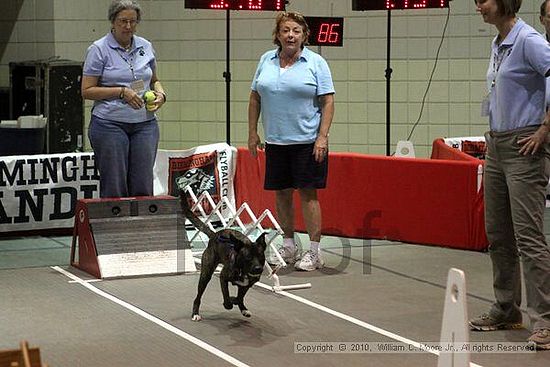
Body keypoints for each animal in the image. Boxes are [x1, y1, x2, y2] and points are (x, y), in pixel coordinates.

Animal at [180, 193, 268, 322]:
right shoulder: (223, 278)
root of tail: (214, 234)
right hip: (206, 274)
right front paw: (229, 302)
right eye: (248, 257)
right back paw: (195, 313)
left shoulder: (247, 284)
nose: (258, 269)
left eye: (261, 256)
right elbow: (227, 297)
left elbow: (239, 297)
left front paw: (239, 304)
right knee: (198, 297)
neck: (242, 269)